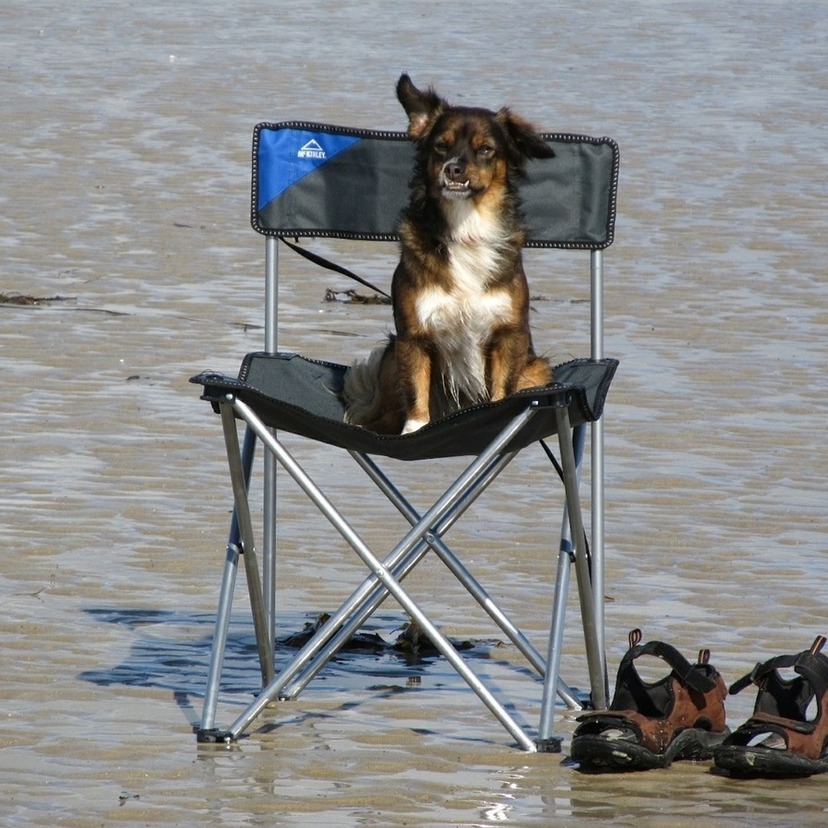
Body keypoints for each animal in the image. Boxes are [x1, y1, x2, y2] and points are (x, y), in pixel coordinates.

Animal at [342, 75, 556, 436]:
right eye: (441, 145)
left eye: (486, 150)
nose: (453, 169)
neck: (465, 227)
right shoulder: (413, 337)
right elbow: (416, 396)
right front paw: (413, 433)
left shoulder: (509, 335)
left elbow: (501, 392)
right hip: (390, 359)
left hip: (536, 369)